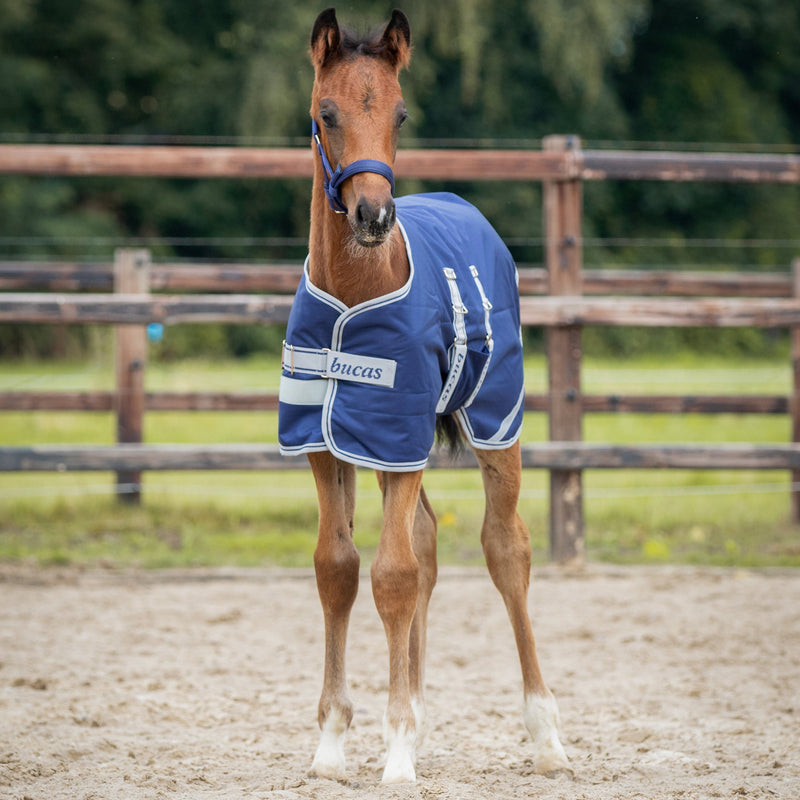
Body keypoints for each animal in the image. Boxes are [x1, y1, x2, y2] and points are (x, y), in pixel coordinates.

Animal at [277, 7, 570, 785]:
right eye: (327, 112)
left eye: (400, 113)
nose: (374, 216)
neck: (356, 294)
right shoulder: (332, 442)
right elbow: (340, 569)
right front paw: (335, 744)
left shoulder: (399, 434)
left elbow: (395, 575)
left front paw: (398, 751)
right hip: (388, 450)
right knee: (430, 540)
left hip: (496, 423)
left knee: (505, 549)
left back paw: (546, 735)